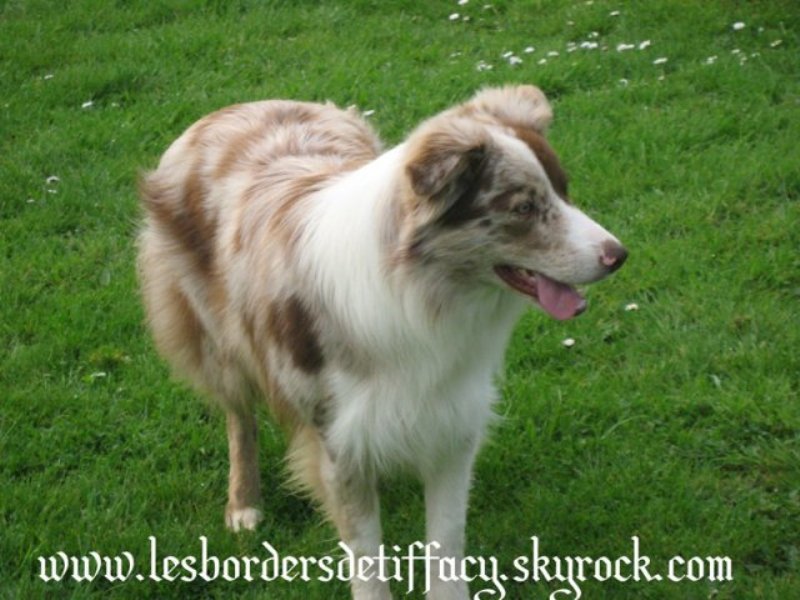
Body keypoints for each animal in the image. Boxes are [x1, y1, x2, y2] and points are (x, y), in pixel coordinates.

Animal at [137, 85, 627, 599]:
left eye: (564, 190)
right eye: (524, 208)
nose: (618, 255)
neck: (421, 296)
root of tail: (236, 108)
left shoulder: (453, 419)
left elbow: (446, 538)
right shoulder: (336, 440)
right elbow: (367, 555)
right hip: (216, 341)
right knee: (239, 418)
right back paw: (244, 503)